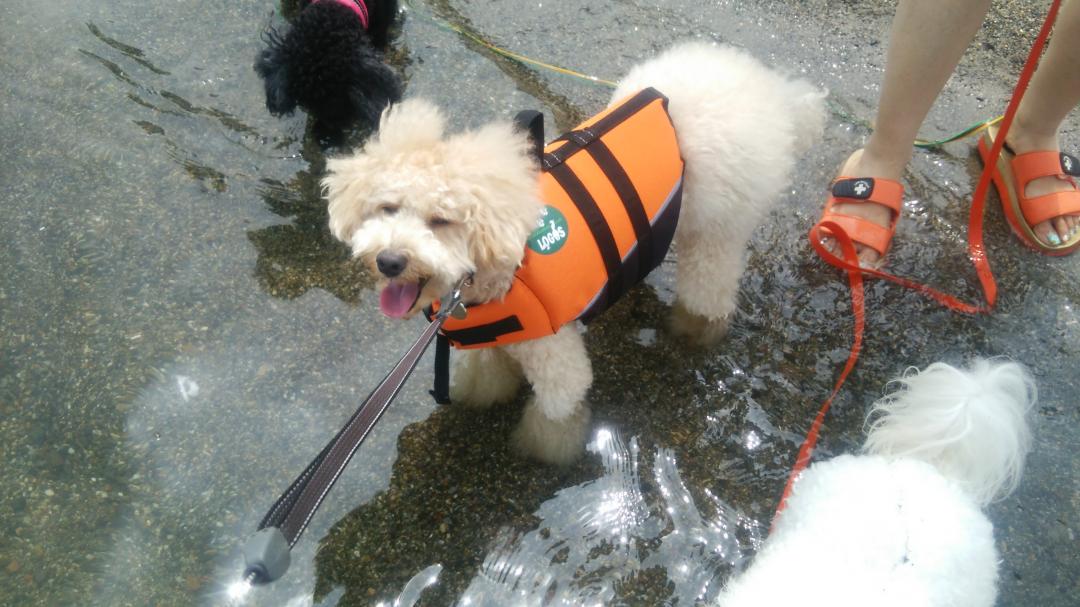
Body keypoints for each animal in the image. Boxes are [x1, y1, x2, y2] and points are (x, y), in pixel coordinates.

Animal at [324, 42, 820, 460]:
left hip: (717, 227)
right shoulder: (495, 338)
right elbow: (486, 374)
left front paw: (540, 453)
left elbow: (556, 413)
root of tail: (769, 89)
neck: (492, 275)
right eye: (388, 208)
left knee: (711, 286)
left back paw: (695, 331)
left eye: (441, 221)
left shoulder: (554, 357)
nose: (390, 261)